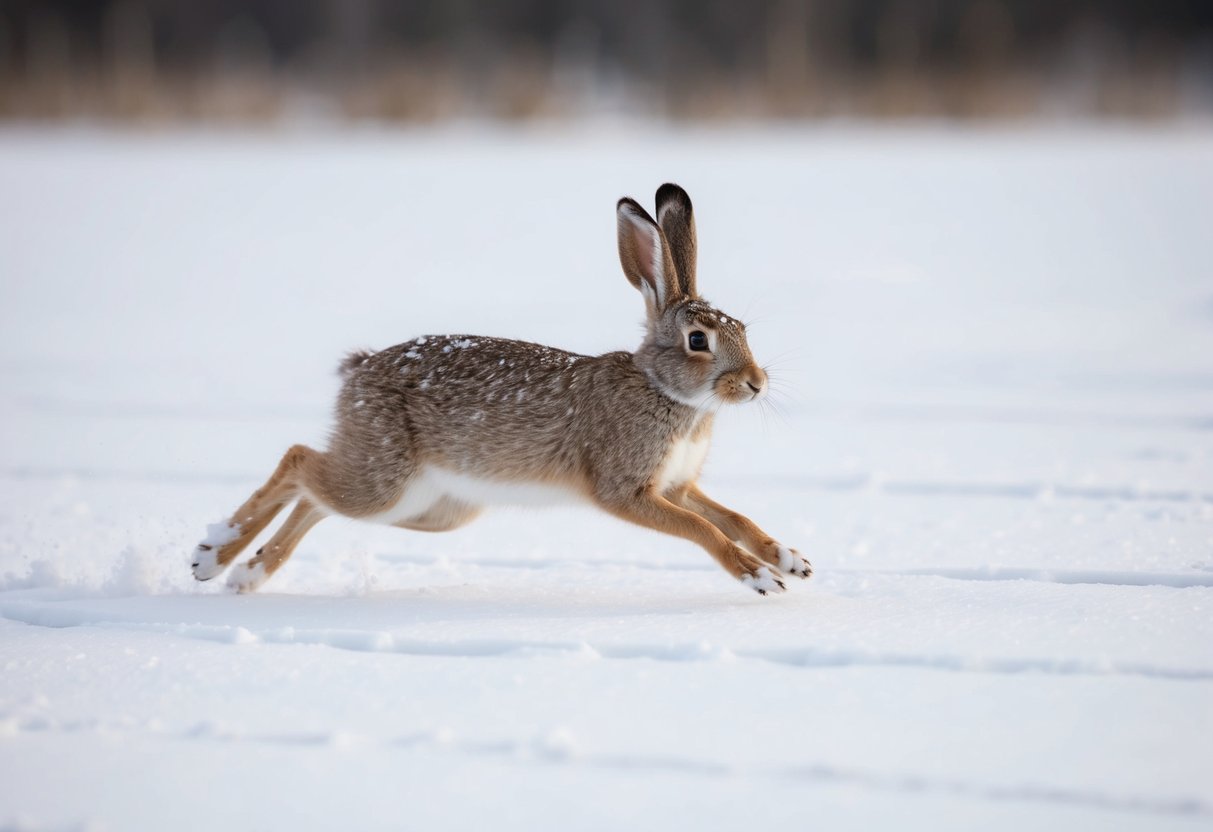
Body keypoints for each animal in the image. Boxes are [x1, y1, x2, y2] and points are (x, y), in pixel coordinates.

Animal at [192, 183, 811, 595]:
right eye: (698, 340)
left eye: (743, 329)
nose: (756, 384)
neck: (665, 391)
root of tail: (359, 372)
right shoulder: (627, 490)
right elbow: (702, 528)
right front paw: (759, 576)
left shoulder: (677, 485)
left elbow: (731, 516)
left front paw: (790, 559)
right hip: (385, 480)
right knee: (299, 462)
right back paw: (213, 554)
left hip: (429, 507)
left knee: (316, 498)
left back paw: (247, 573)